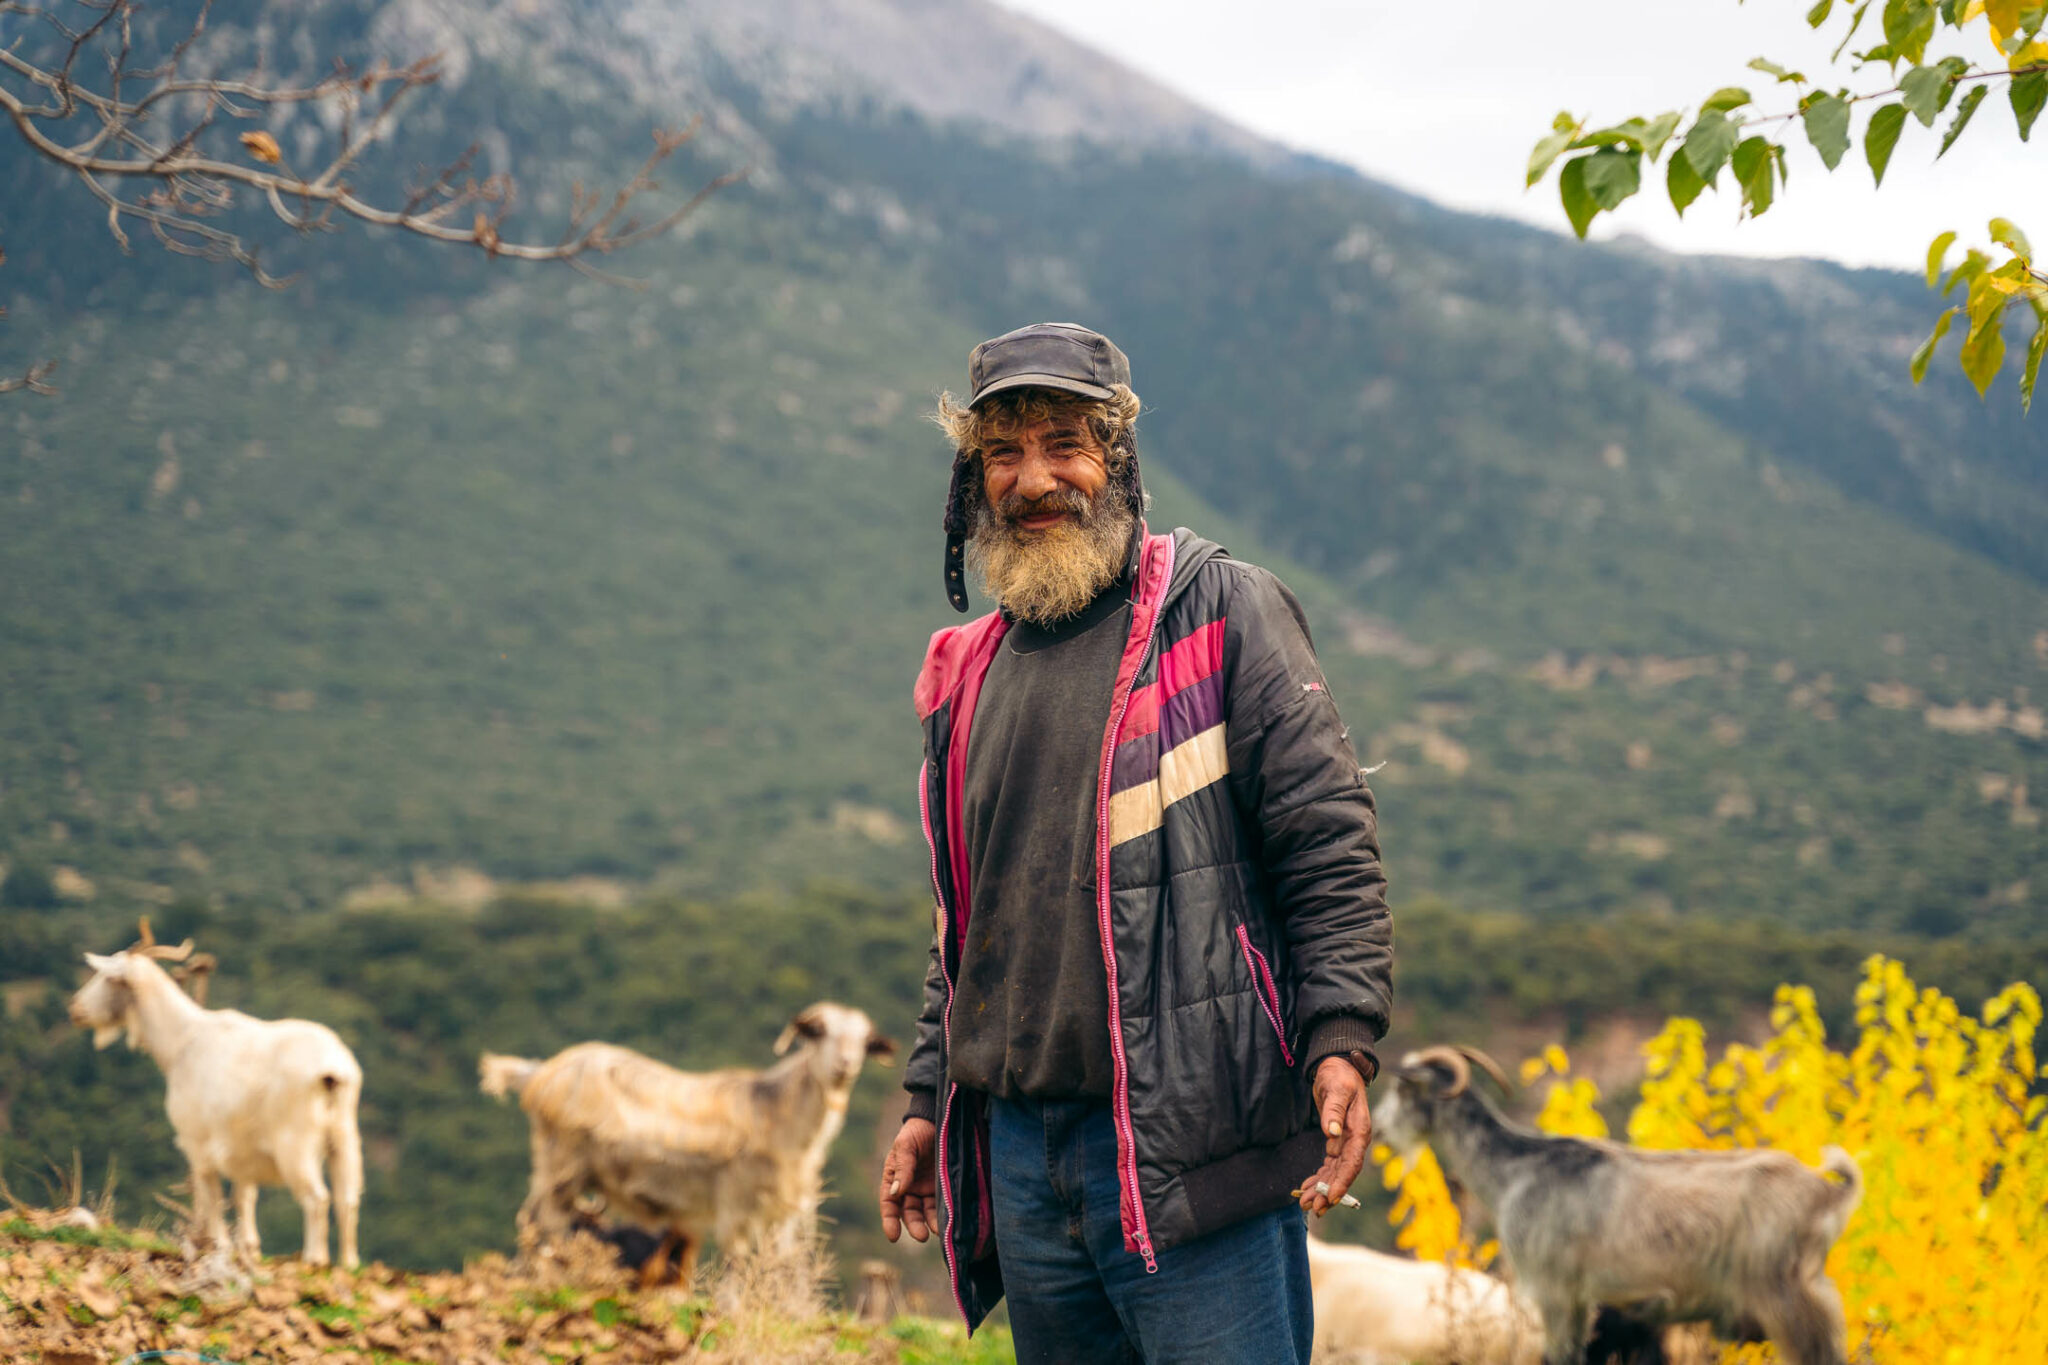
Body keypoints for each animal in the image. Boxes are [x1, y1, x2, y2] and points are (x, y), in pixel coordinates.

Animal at [67, 929, 364, 1268]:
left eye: (106, 976)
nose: (75, 1009)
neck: (182, 1042)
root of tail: (332, 1069)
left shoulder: (196, 1144)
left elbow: (211, 1197)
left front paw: (218, 1246)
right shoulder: (242, 1152)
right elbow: (244, 1197)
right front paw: (250, 1250)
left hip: (295, 1143)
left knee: (317, 1197)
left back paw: (315, 1260)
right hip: (344, 1137)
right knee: (347, 1199)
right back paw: (350, 1263)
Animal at [483, 1002, 901, 1285]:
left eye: (865, 1042)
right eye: (818, 1032)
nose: (844, 1066)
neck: (774, 1111)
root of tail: (537, 1075)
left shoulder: (782, 1210)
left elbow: (783, 1264)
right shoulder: (735, 1198)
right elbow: (735, 1263)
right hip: (560, 1164)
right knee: (540, 1226)